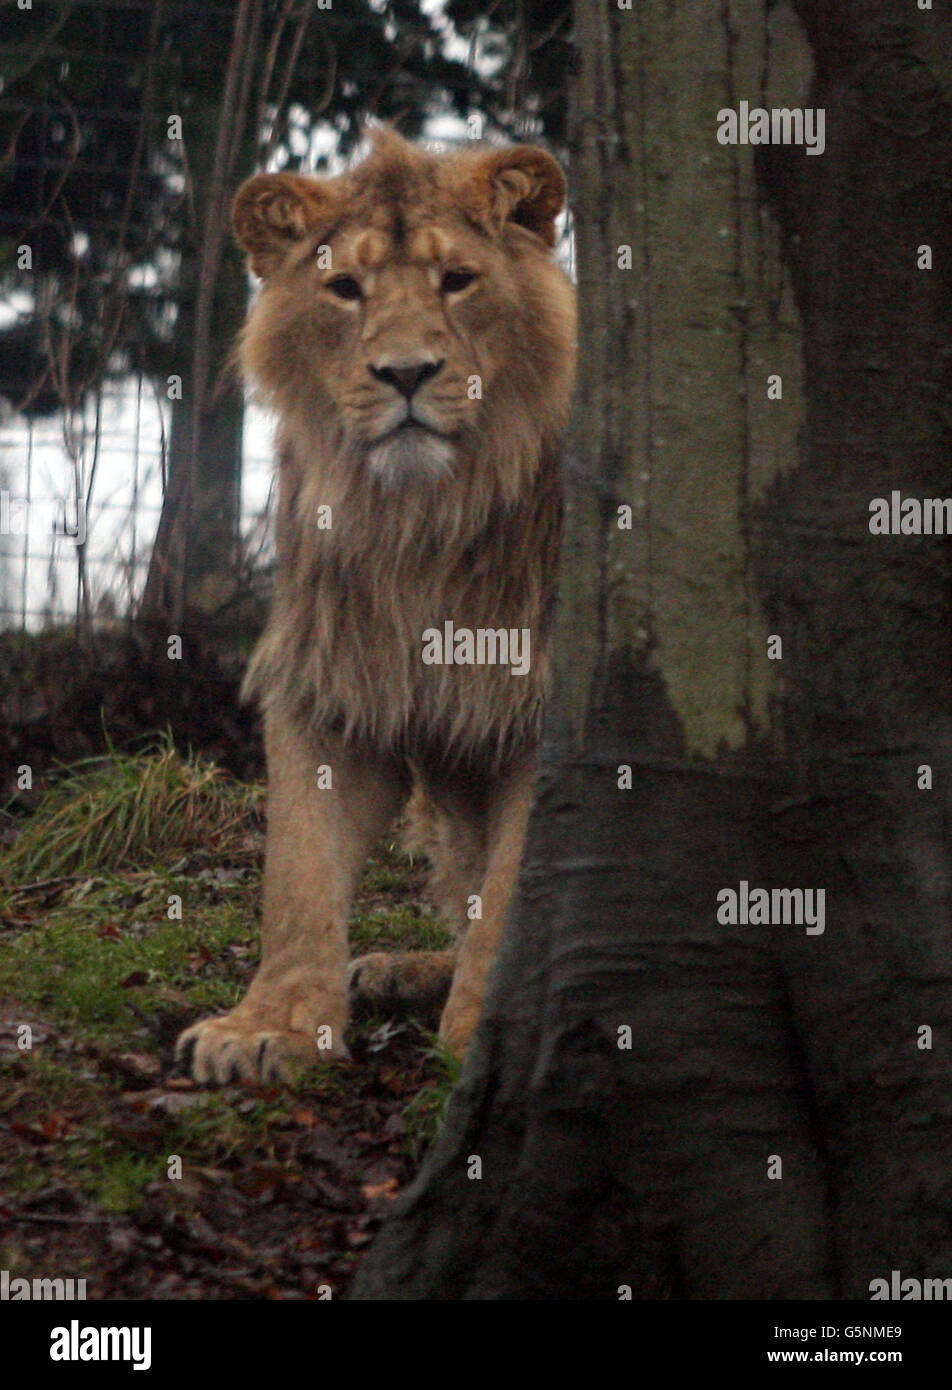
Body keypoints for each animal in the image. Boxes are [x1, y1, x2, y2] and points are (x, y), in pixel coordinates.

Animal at [175, 127, 575, 1084]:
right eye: (345, 289)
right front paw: (270, 1027)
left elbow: (512, 890)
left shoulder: (546, 699)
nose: (405, 374)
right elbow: (297, 872)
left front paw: (483, 1040)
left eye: (457, 280)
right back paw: (399, 969)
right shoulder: (333, 677)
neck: (420, 519)